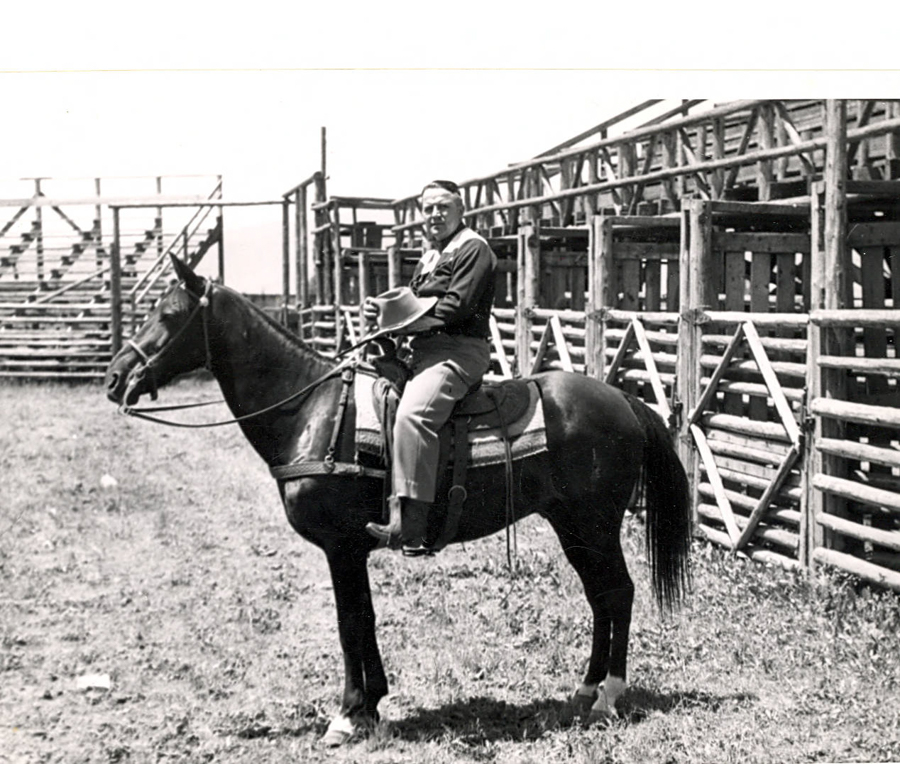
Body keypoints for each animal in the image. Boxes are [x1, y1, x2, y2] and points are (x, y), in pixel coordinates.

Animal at [104, 256, 692, 747]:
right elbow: (363, 619)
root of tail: (624, 399)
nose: (114, 377)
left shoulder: (340, 547)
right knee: (600, 597)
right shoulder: (350, 550)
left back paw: (608, 696)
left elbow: (349, 624)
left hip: (595, 525)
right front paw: (371, 706)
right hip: (572, 527)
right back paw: (584, 690)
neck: (311, 409)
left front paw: (347, 714)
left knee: (618, 592)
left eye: (168, 313)